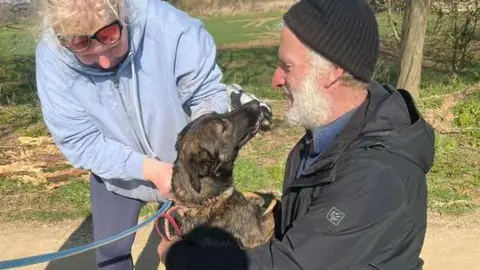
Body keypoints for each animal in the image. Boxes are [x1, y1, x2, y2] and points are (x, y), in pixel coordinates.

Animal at [159, 100, 276, 250]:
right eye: (223, 126)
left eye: (218, 113)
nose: (255, 103)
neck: (204, 200)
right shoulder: (258, 235)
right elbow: (272, 211)